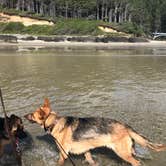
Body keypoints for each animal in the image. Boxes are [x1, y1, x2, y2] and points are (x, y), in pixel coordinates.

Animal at [24, 98, 166, 166]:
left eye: (32, 114)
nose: (24, 115)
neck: (55, 122)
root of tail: (126, 126)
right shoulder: (86, 150)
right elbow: (91, 160)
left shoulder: (63, 154)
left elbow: (59, 163)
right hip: (127, 153)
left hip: (123, 153)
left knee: (136, 163)